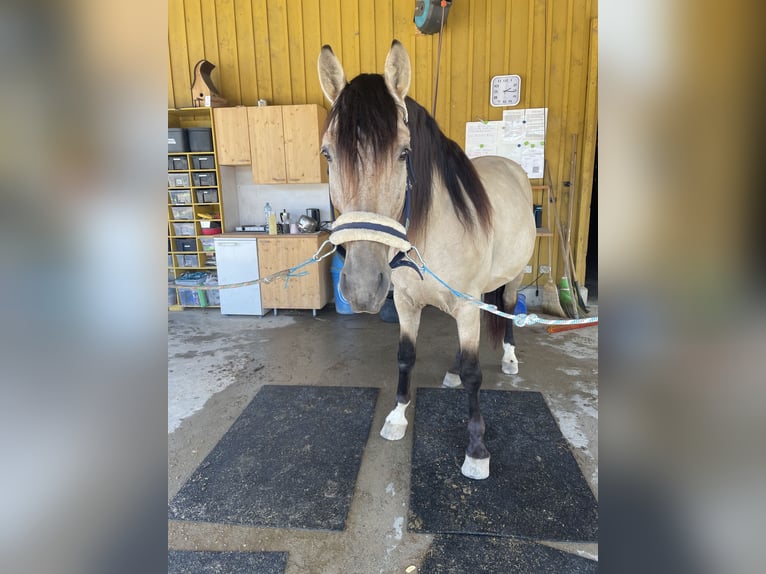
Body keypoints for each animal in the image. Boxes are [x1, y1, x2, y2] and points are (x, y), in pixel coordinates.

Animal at [318, 40, 536, 480]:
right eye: (327, 153)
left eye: (404, 153)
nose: (362, 288)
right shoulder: (406, 302)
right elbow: (406, 358)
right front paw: (398, 417)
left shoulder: (466, 304)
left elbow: (474, 373)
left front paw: (476, 449)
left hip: (513, 278)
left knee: (507, 312)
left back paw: (509, 358)